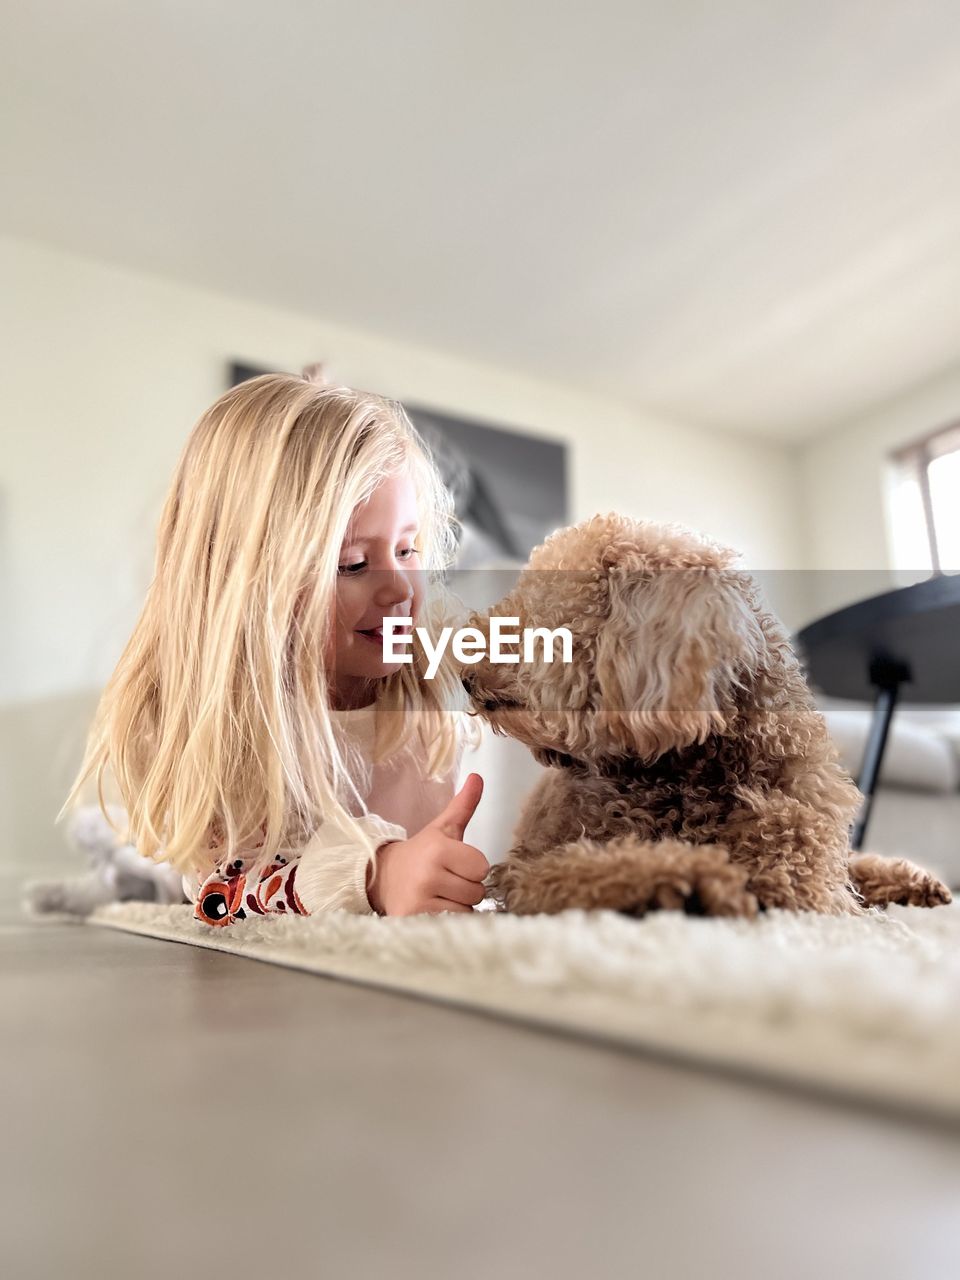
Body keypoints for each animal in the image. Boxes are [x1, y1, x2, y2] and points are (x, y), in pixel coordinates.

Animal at [463, 512, 952, 921]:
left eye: (532, 612)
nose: (464, 675)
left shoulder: (804, 874)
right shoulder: (529, 869)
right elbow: (595, 867)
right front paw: (695, 878)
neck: (684, 772)